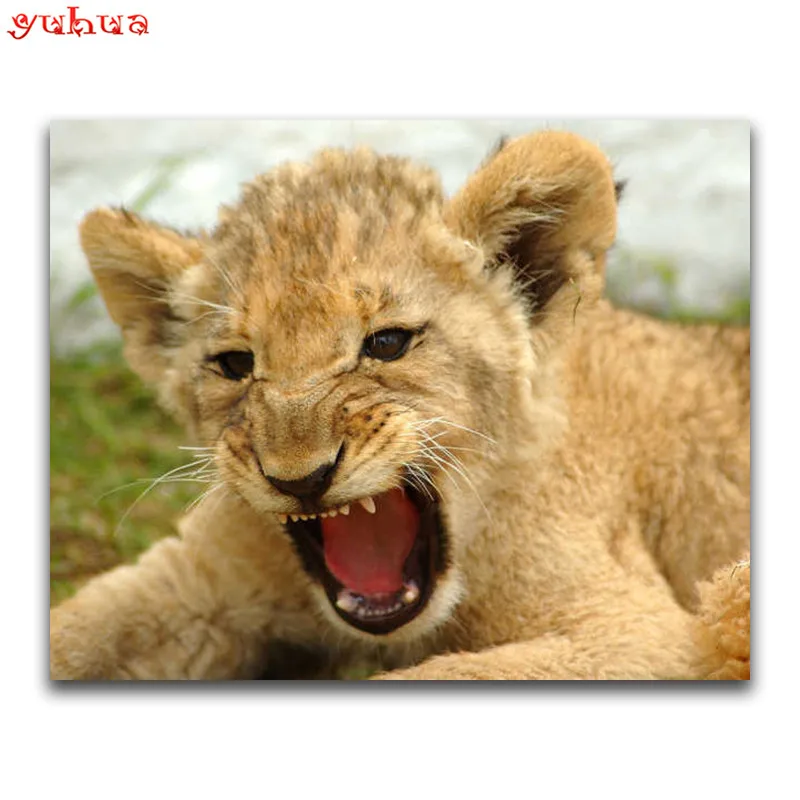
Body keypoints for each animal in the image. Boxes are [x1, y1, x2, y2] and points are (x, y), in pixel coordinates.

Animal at [49, 130, 750, 680]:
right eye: (236, 364)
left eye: (386, 343)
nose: (299, 479)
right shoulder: (191, 581)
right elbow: (77, 630)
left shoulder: (640, 630)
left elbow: (443, 675)